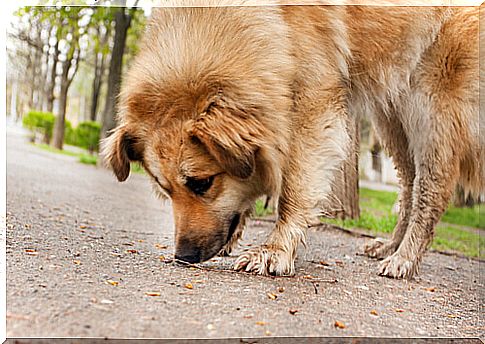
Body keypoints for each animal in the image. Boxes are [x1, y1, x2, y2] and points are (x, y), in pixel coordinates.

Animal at [101, 0, 480, 280]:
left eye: (202, 183)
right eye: (165, 190)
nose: (184, 256)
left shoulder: (315, 103)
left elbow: (294, 187)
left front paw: (275, 251)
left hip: (431, 111)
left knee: (431, 195)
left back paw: (406, 259)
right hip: (394, 118)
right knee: (409, 187)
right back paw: (391, 247)